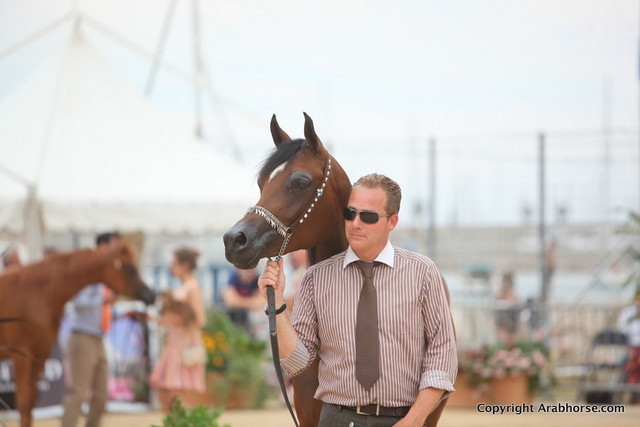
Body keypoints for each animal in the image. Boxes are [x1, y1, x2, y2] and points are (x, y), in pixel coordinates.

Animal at [0, 239, 155, 427]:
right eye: (129, 267)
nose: (151, 295)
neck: (34, 295)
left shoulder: (40, 355)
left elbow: (30, 403)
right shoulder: (21, 356)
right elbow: (23, 401)